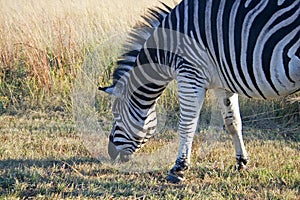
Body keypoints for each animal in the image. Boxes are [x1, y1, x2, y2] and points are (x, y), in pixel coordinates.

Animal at [99, 0, 300, 183]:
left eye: (116, 115)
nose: (110, 153)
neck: (167, 47)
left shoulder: (189, 74)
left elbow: (187, 125)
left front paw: (178, 169)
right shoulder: (222, 83)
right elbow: (233, 123)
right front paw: (241, 162)